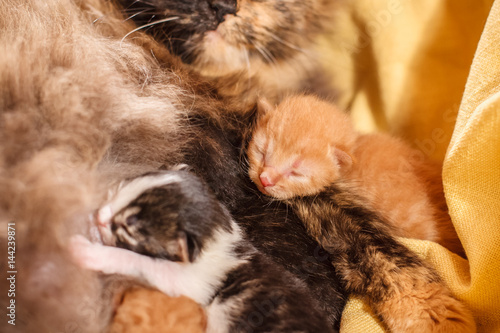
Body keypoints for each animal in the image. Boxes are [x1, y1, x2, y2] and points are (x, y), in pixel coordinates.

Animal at [70, 169, 334, 332]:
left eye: (127, 227)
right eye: (119, 189)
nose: (99, 215)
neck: (214, 236)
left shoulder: (186, 281)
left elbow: (136, 260)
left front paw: (86, 250)